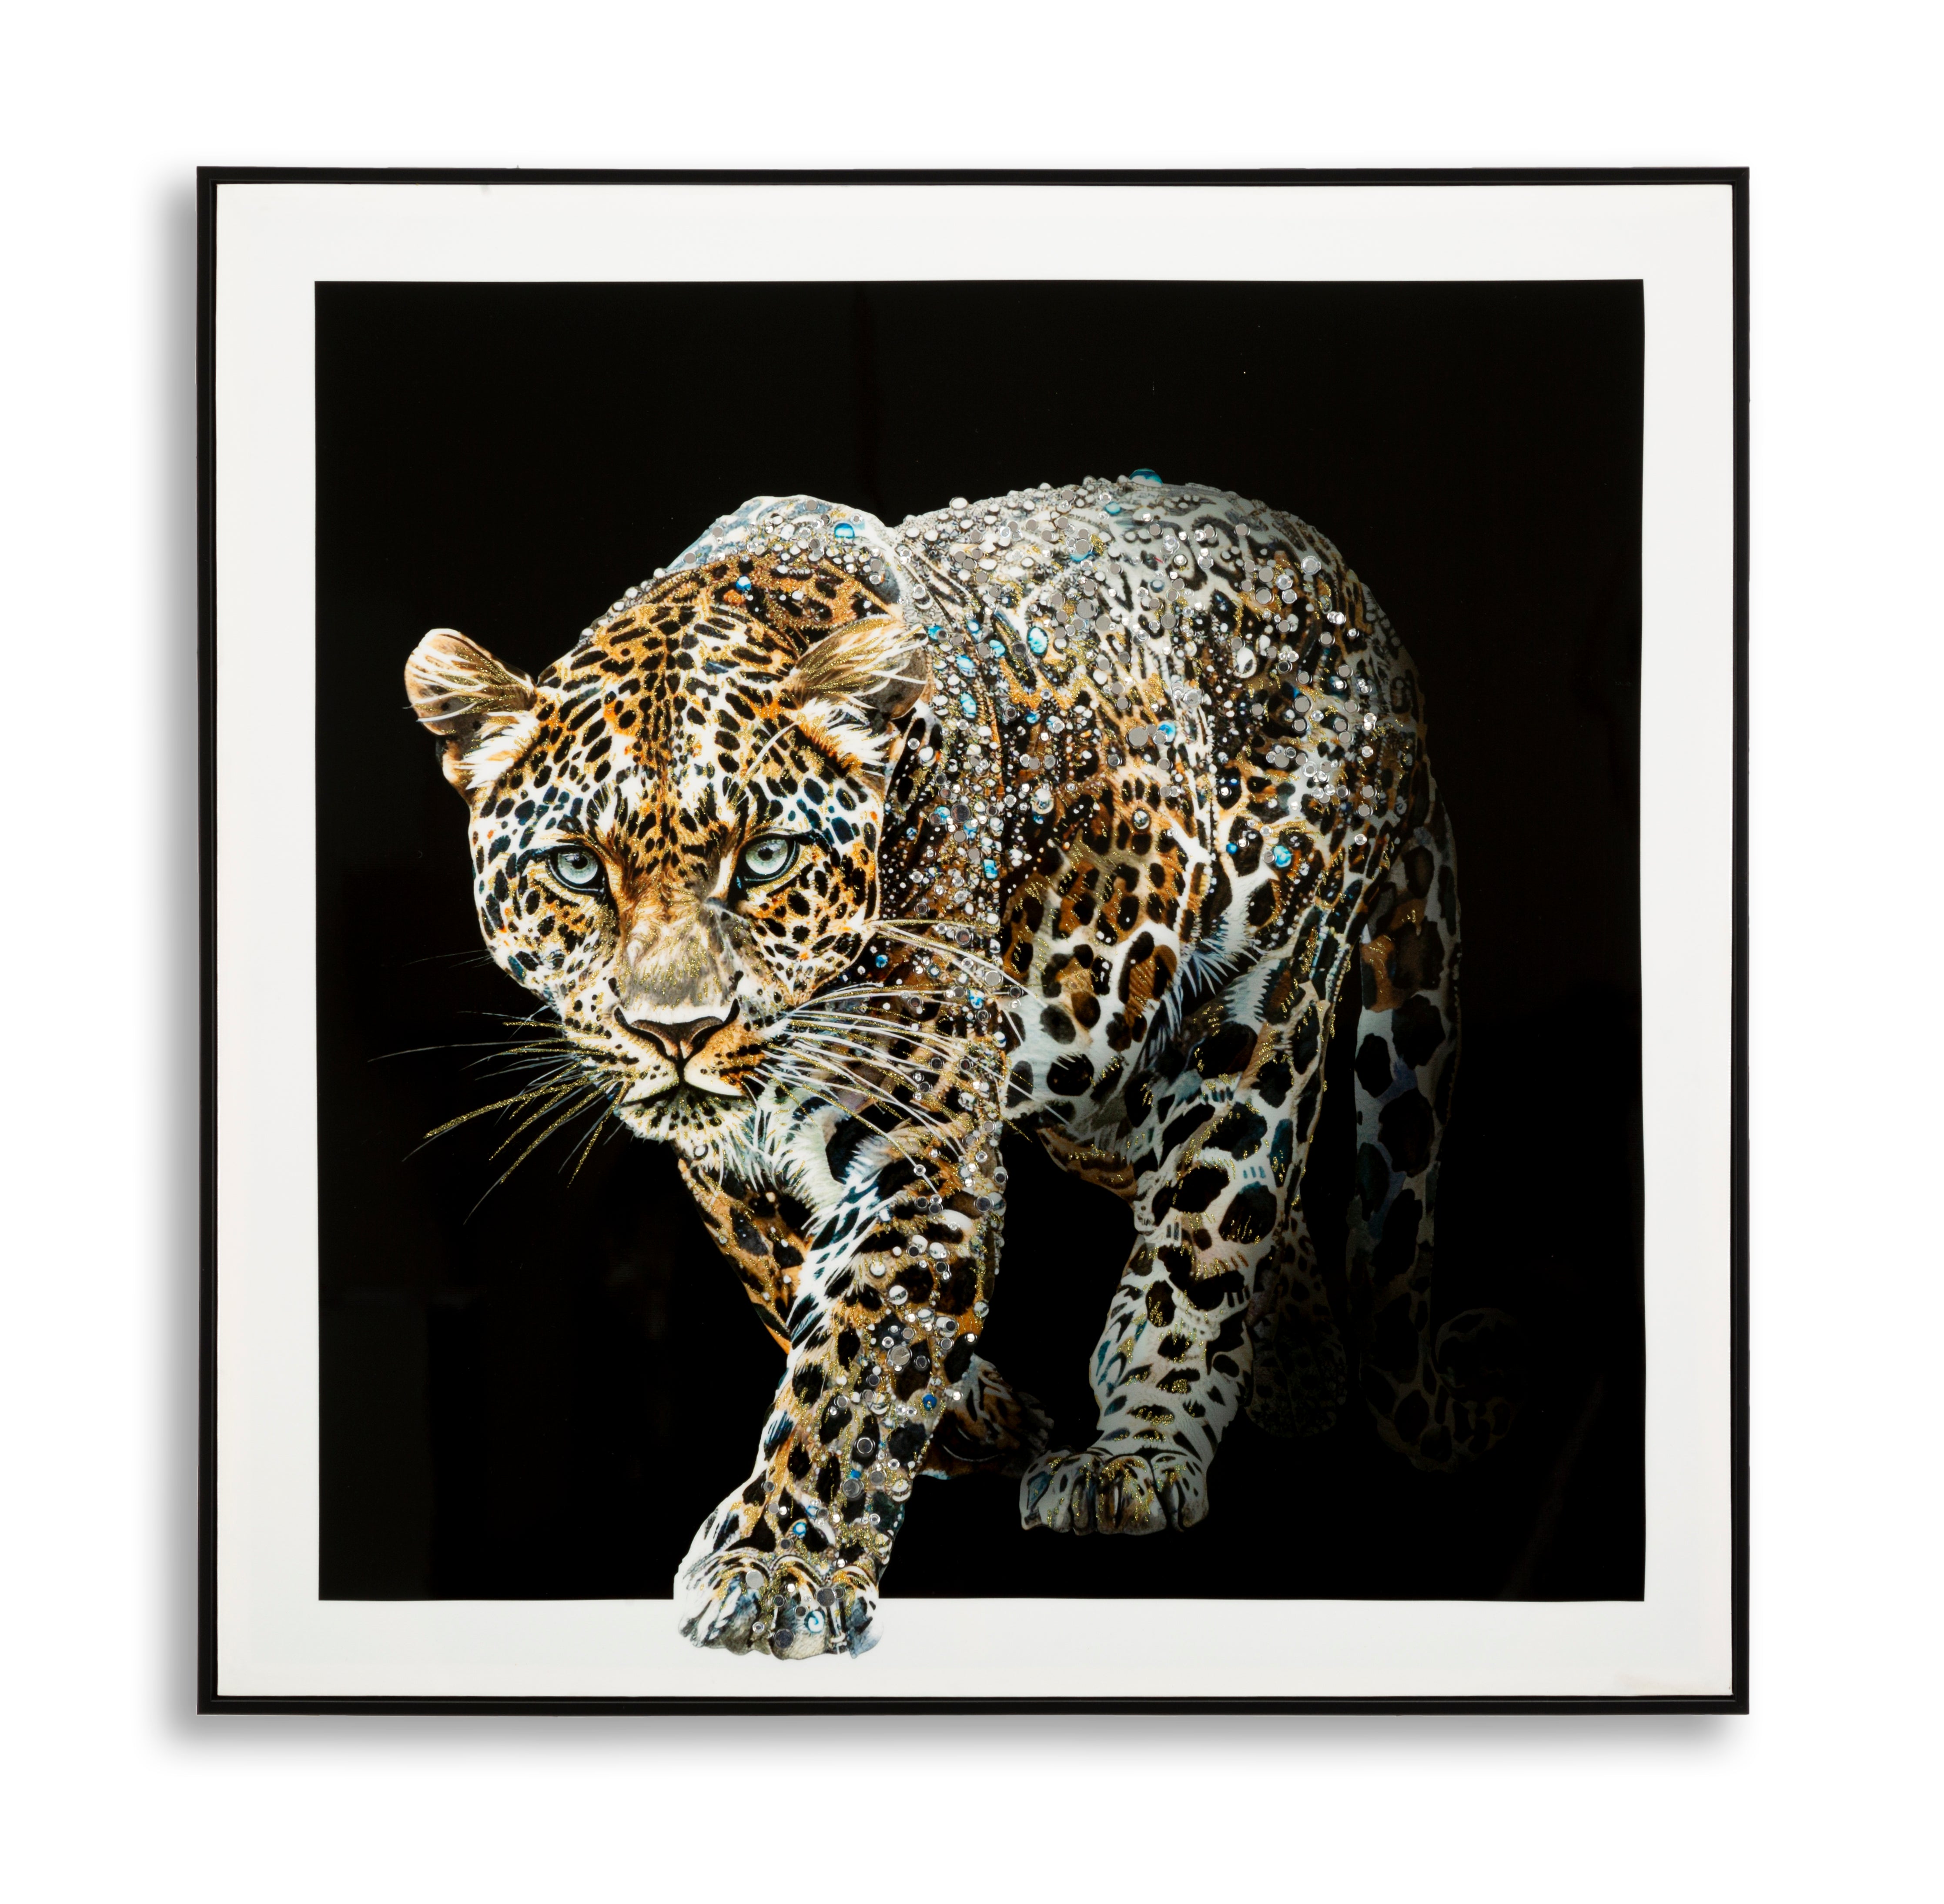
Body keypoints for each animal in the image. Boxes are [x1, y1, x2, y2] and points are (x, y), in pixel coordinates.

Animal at [405, 472, 1516, 1661]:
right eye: (576, 868)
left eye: (766, 858)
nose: (677, 1029)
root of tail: (1355, 594)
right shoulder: (731, 1162)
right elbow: (786, 1276)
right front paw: (973, 1417)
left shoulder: (924, 1139)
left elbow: (857, 1345)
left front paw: (777, 1565)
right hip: (1096, 1059)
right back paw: (1297, 1374)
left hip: (1262, 989)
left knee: (1213, 1212)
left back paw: (1139, 1451)